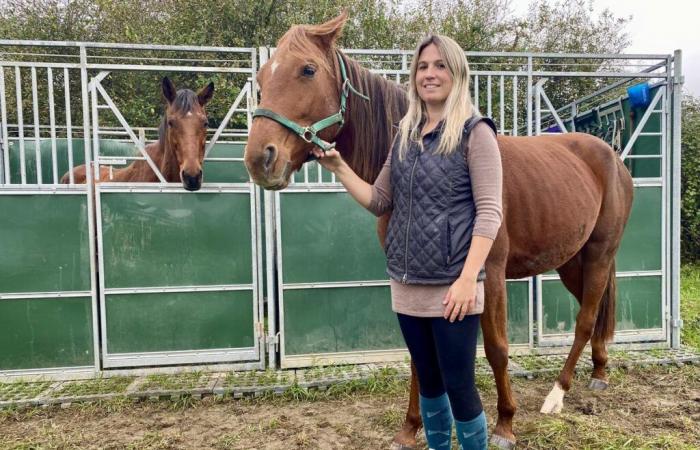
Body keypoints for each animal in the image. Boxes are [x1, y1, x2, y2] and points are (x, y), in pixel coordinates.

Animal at [246, 12, 636, 448]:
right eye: (262, 76)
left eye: (308, 70)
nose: (260, 159)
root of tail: (611, 157)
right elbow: (421, 355)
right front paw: (410, 427)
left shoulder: (490, 274)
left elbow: (497, 349)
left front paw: (505, 423)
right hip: (571, 260)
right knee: (595, 310)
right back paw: (599, 373)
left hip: (599, 252)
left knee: (586, 317)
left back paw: (557, 393)